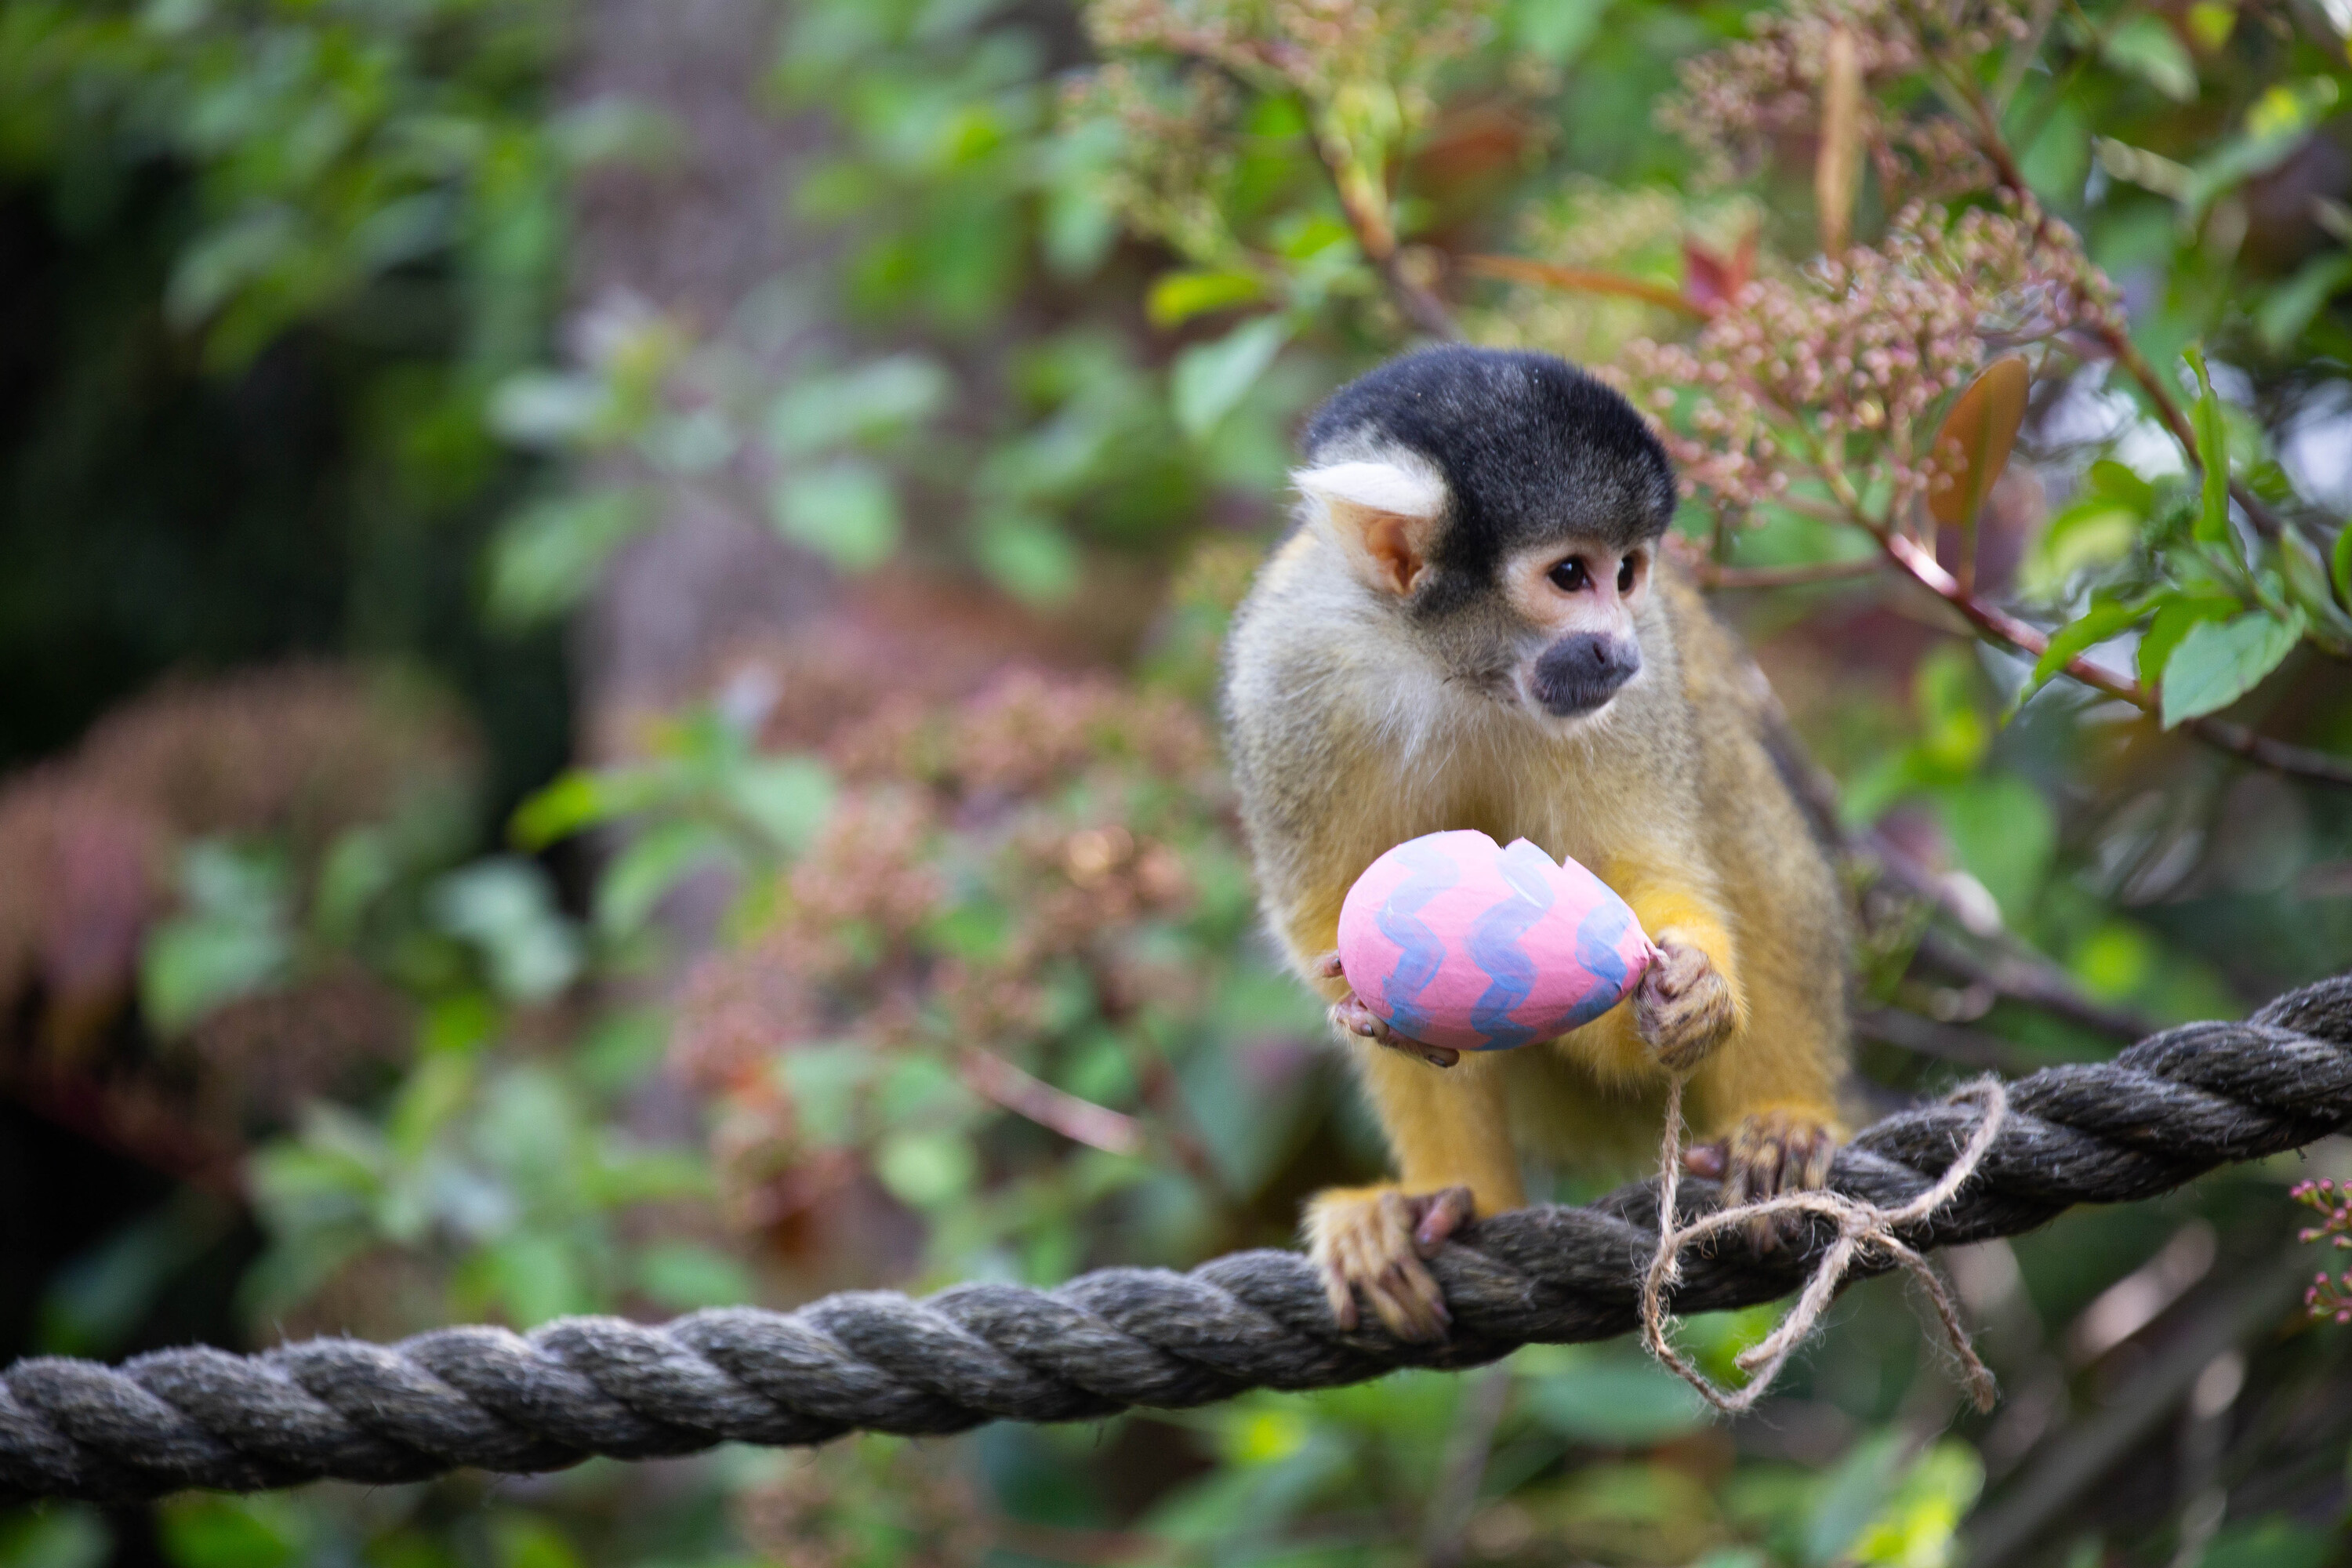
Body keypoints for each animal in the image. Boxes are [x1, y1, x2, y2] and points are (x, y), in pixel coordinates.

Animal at [1222, 345, 1850, 1342]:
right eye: (1568, 574)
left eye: (1626, 572)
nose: (1618, 650)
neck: (1451, 666)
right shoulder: (1286, 676)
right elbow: (1331, 927)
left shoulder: (1634, 691)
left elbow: (1650, 876)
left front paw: (1693, 989)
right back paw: (1447, 1202)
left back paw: (1782, 1122)